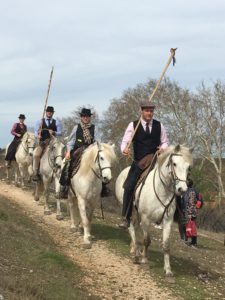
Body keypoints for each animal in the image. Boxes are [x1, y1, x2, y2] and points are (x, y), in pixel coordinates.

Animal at [115, 145, 192, 278]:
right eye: (174, 164)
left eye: (188, 167)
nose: (182, 189)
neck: (162, 190)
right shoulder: (146, 219)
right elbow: (146, 240)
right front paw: (145, 260)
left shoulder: (167, 221)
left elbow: (166, 245)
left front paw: (168, 270)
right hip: (129, 211)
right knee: (131, 228)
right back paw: (136, 254)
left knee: (135, 228)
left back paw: (135, 249)